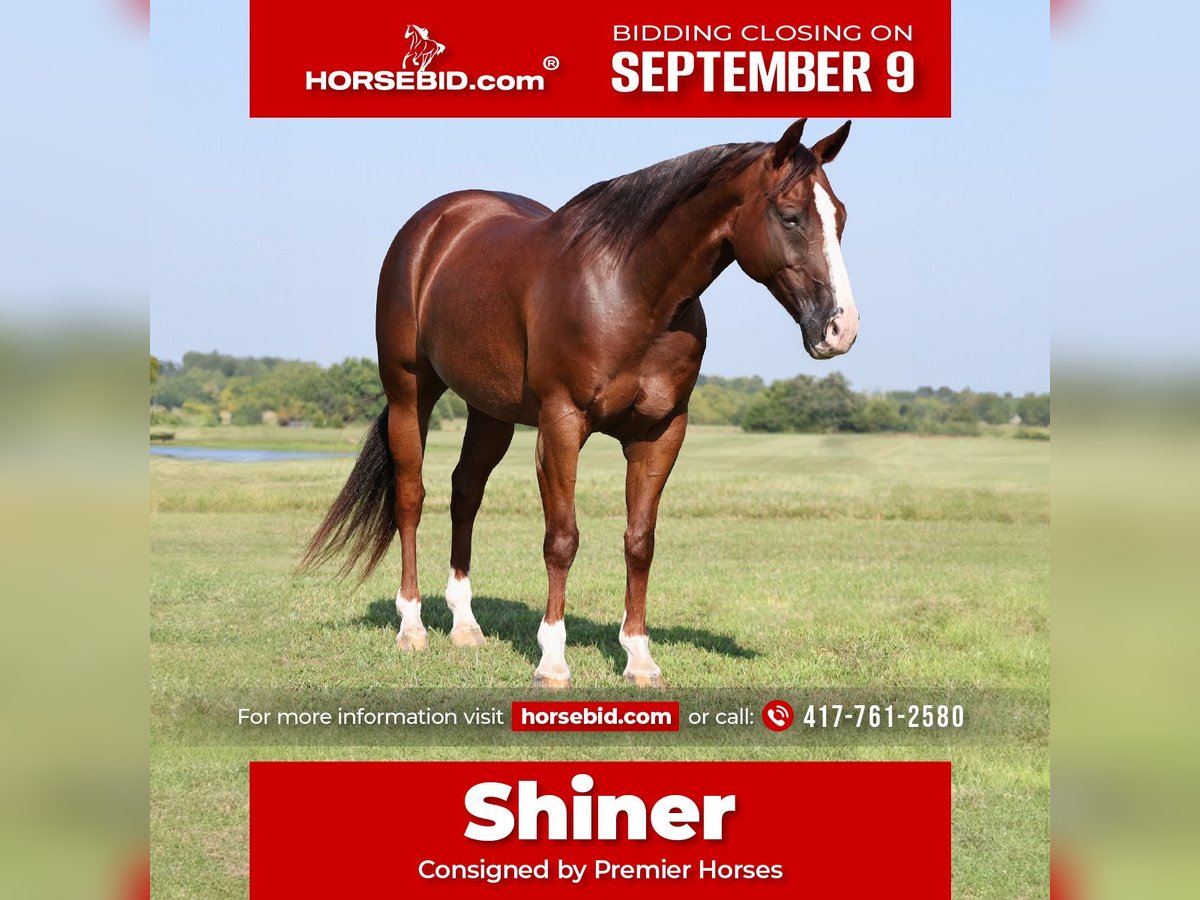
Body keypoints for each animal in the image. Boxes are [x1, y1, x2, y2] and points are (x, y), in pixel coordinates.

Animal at [304, 120, 859, 691]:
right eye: (790, 215)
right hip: (409, 393)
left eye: (840, 216)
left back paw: (465, 625)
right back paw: (412, 626)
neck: (632, 293)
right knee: (411, 498)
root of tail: (431, 228)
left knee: (466, 493)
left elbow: (640, 540)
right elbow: (562, 539)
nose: (840, 328)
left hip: (491, 412)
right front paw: (552, 662)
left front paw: (639, 658)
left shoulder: (661, 433)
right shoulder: (561, 425)